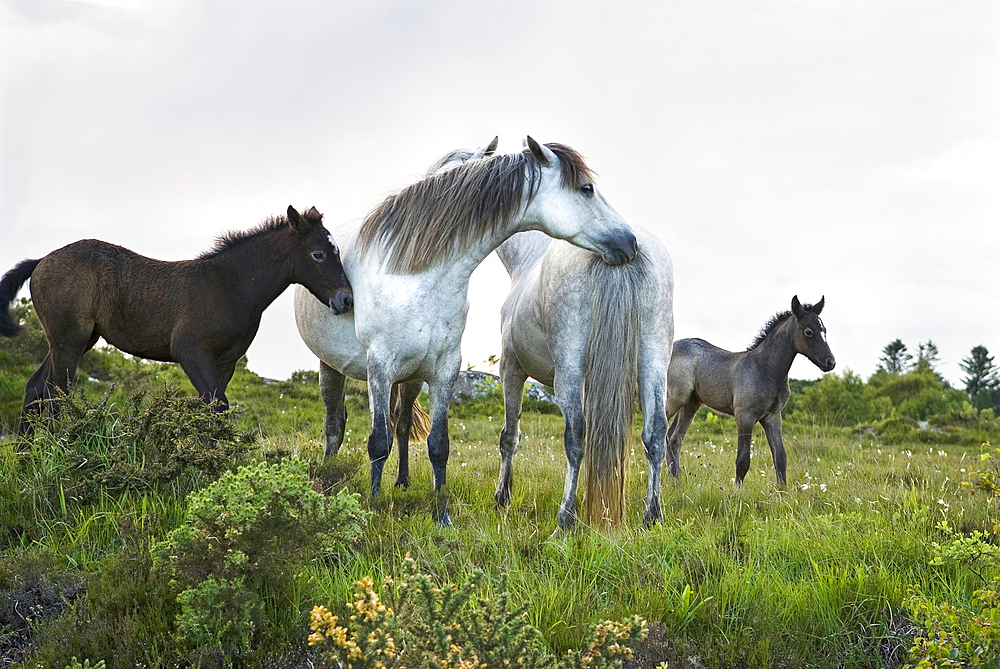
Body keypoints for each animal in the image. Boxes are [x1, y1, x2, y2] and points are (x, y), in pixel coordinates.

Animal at [0, 205, 354, 434]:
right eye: (318, 254)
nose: (347, 299)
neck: (231, 284)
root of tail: (41, 261)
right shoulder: (191, 351)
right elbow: (216, 405)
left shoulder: (226, 362)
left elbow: (212, 408)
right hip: (69, 340)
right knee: (56, 396)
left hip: (76, 340)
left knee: (35, 389)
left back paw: (26, 456)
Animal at [296, 137, 636, 520]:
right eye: (586, 189)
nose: (630, 242)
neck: (416, 276)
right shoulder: (379, 368)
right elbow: (377, 443)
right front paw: (374, 505)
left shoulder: (444, 368)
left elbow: (437, 445)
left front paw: (441, 514)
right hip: (332, 367)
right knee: (335, 425)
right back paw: (329, 474)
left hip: (409, 378)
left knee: (400, 424)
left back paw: (401, 482)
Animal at [496, 227, 676, 528]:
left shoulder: (511, 369)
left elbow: (510, 437)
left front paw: (502, 497)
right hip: (654, 362)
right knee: (655, 434)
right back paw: (653, 516)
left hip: (568, 371)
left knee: (576, 435)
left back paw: (565, 518)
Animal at [664, 296, 836, 486]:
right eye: (808, 332)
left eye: (824, 330)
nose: (830, 362)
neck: (764, 369)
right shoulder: (744, 415)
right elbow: (743, 460)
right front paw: (737, 491)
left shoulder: (773, 417)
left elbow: (780, 457)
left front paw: (783, 492)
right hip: (676, 397)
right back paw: (673, 472)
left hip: (691, 402)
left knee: (675, 437)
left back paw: (675, 479)